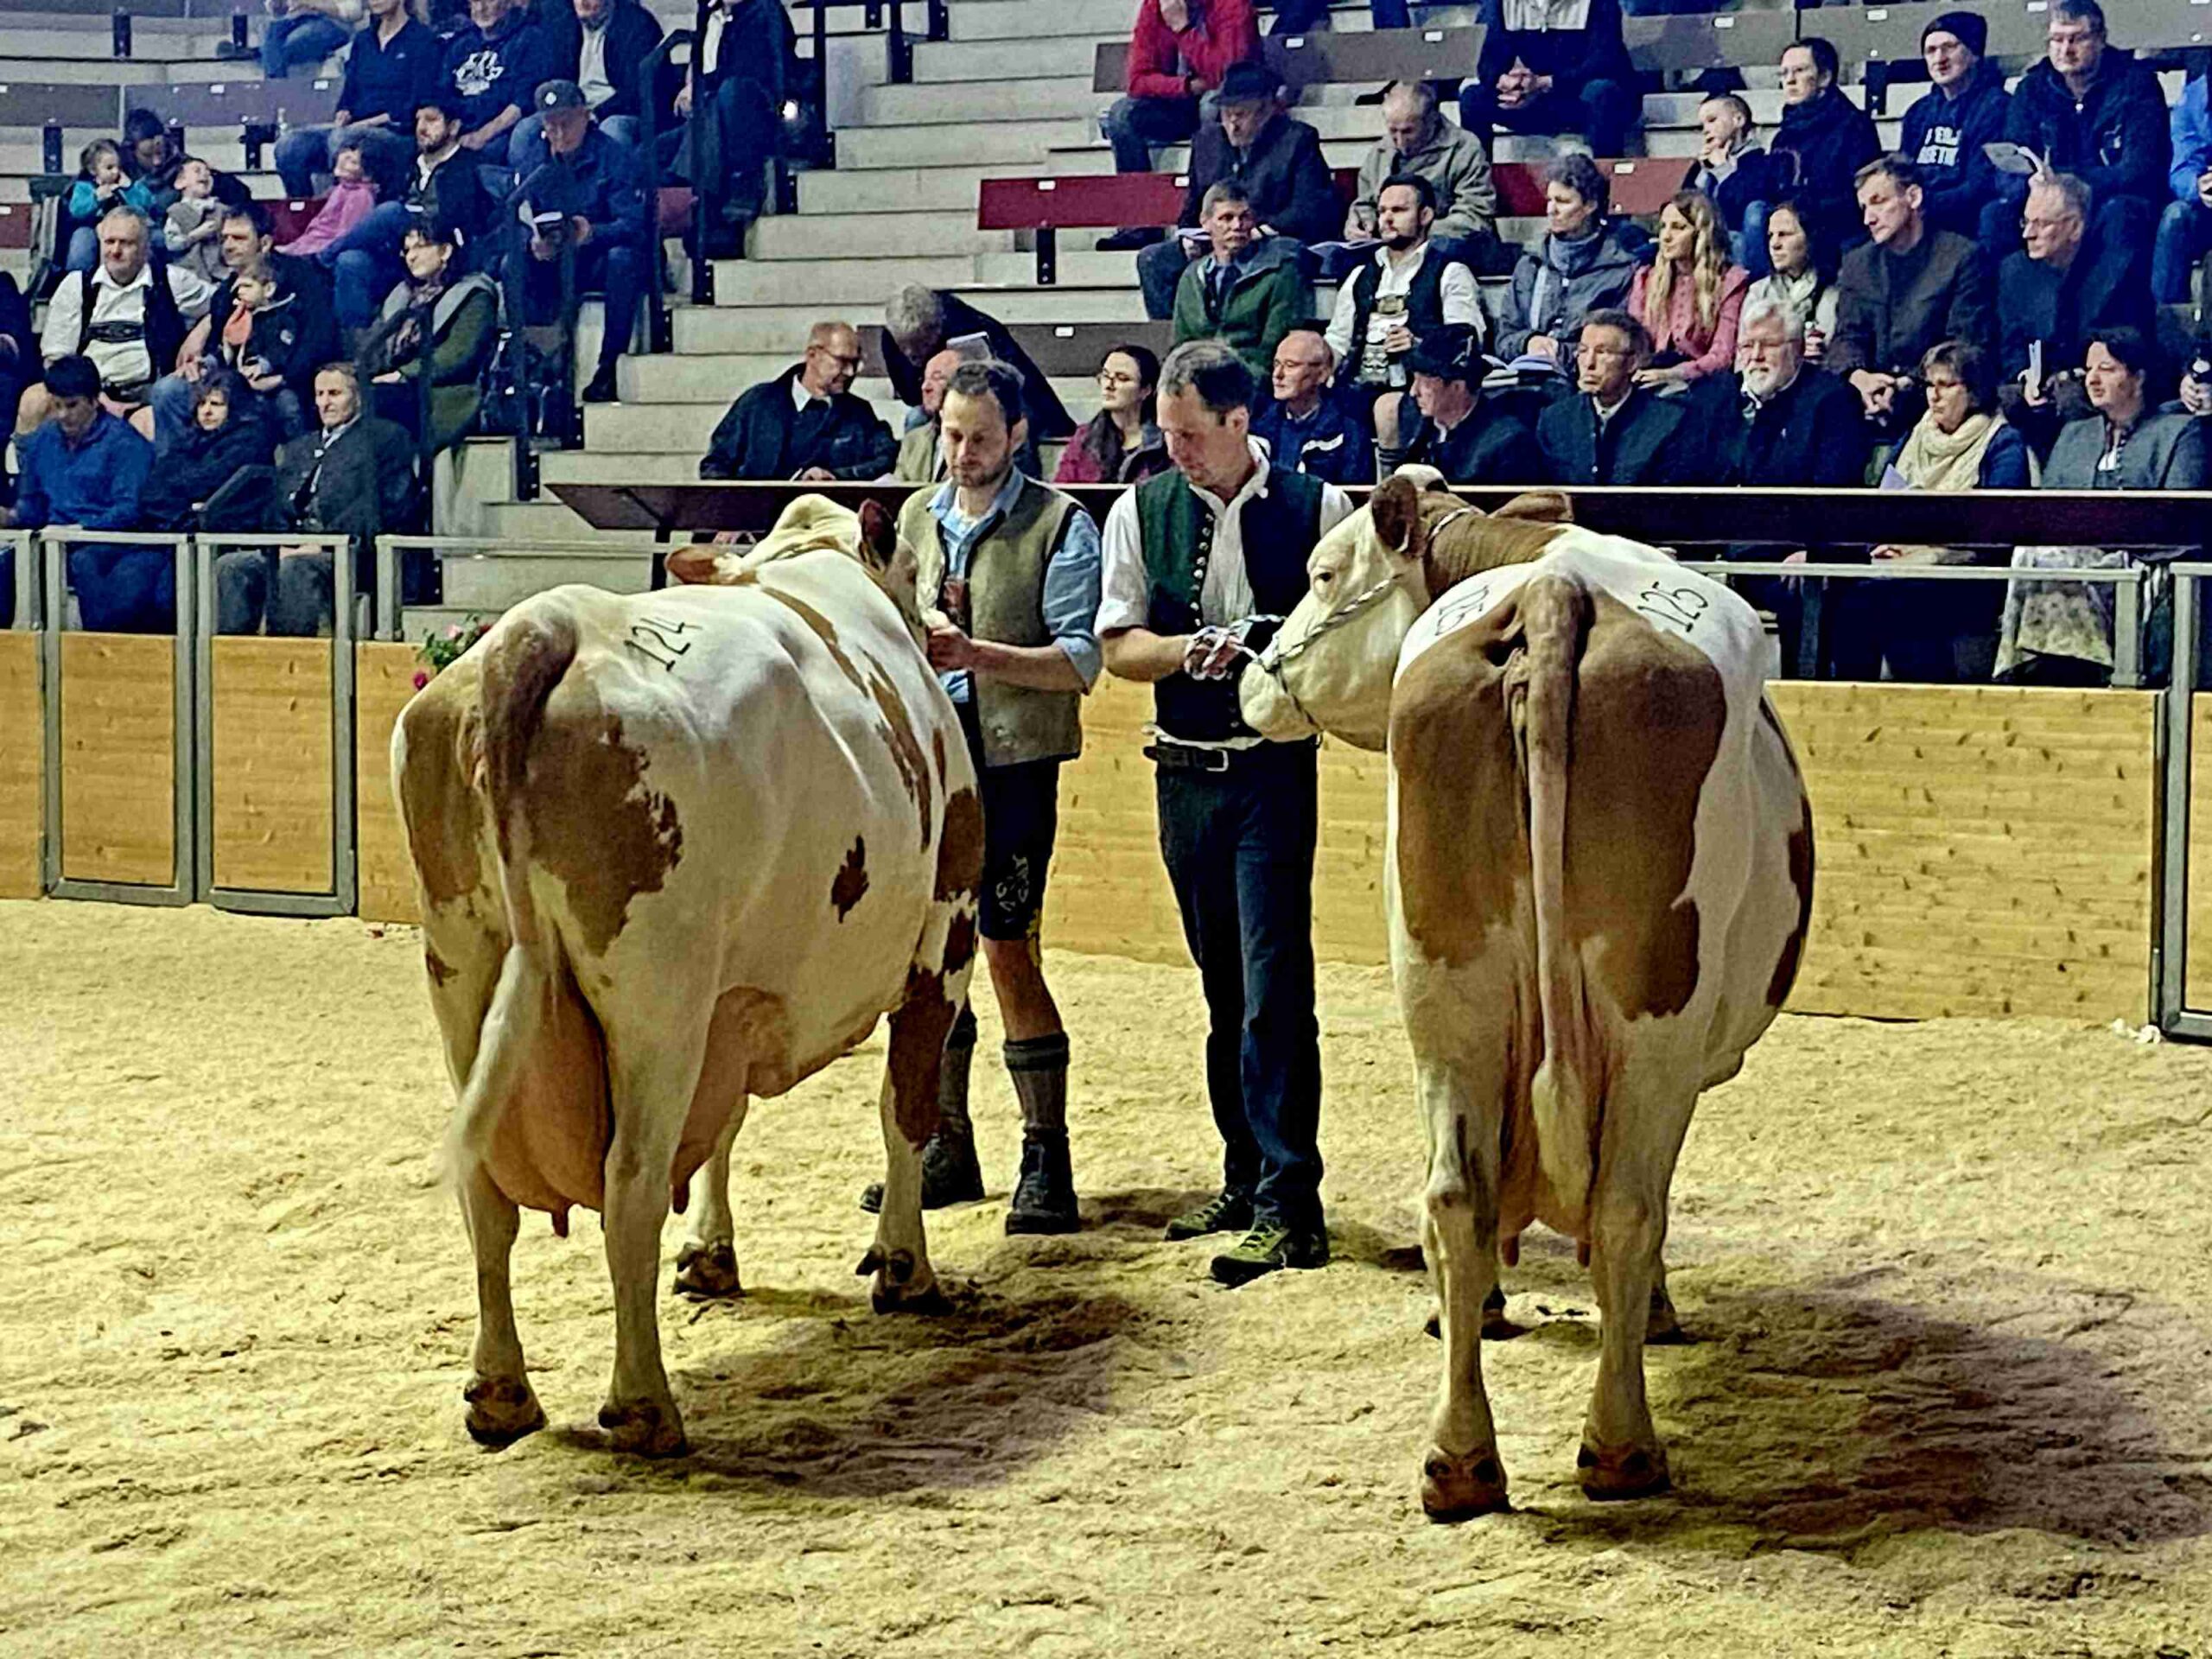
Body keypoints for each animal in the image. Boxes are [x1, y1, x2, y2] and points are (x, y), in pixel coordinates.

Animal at [391, 495, 982, 1459]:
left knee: (487, 1191)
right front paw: (904, 1269)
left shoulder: (733, 998)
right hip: (654, 998)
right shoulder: (945, 938)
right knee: (630, 1182)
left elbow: (724, 1125)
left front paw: (710, 1254)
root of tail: (543, 624)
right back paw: (642, 1405)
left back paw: (501, 1393)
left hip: (463, 971)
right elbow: (905, 1109)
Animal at [1237, 471, 1814, 1520]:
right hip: (1655, 1015)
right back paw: (1621, 1448)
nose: (1250, 679)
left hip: (1444, 995)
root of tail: (1554, 595)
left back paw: (1458, 1462)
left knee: (1456, 1197)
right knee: (1624, 1205)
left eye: (1321, 572)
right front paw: (1652, 1311)